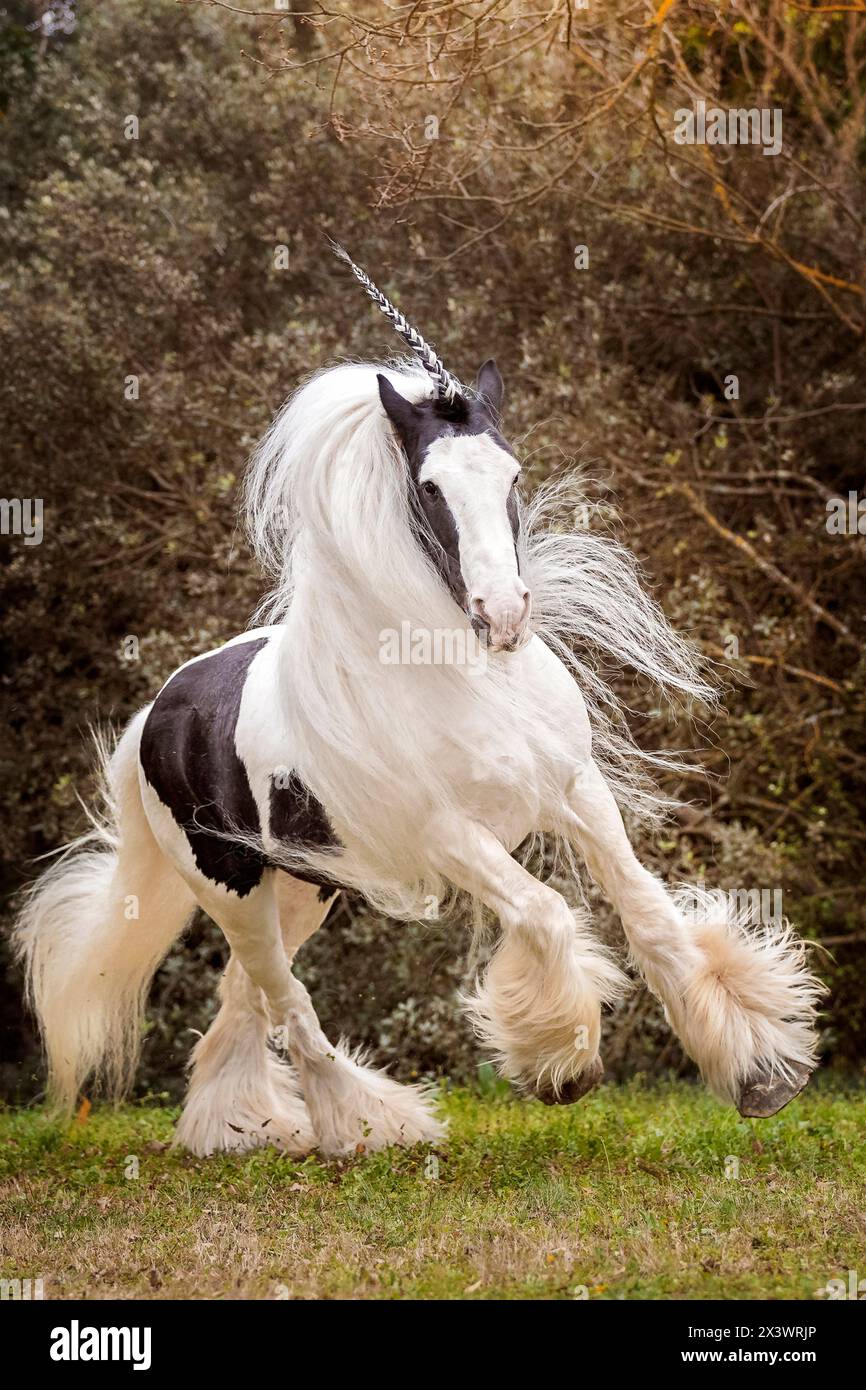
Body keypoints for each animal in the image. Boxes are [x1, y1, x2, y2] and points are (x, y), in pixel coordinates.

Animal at [13, 246, 822, 1157]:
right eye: (430, 488)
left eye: (512, 473)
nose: (503, 614)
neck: (472, 681)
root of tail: (156, 715)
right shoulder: (452, 836)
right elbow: (545, 914)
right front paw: (561, 1065)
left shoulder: (576, 790)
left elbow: (648, 911)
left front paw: (759, 1071)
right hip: (230, 888)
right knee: (289, 1005)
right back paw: (362, 1128)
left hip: (304, 888)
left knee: (241, 1001)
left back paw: (242, 1128)